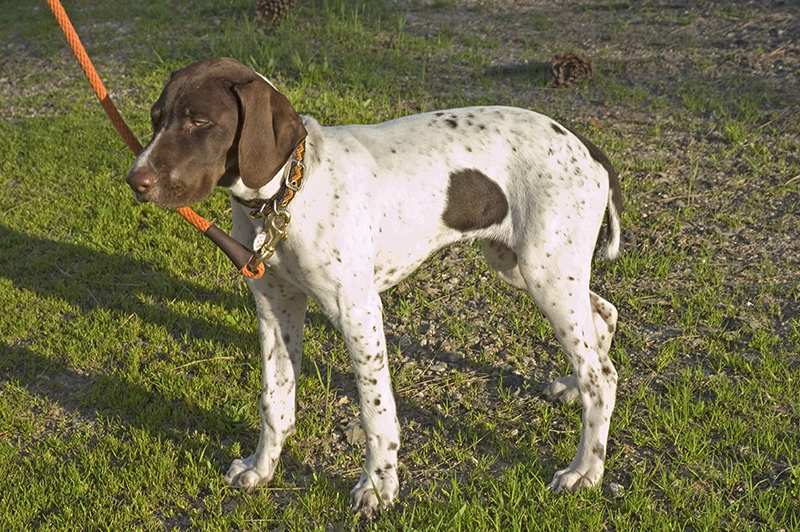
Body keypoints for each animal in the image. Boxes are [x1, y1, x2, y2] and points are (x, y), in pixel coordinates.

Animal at [126, 57, 624, 516]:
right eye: (156, 118)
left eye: (200, 122)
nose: (136, 180)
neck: (289, 194)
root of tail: (585, 146)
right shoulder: (275, 305)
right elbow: (275, 399)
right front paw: (261, 467)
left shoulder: (358, 311)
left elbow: (375, 411)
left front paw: (379, 487)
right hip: (521, 266)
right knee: (603, 318)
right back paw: (571, 389)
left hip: (547, 275)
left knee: (602, 375)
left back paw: (586, 470)